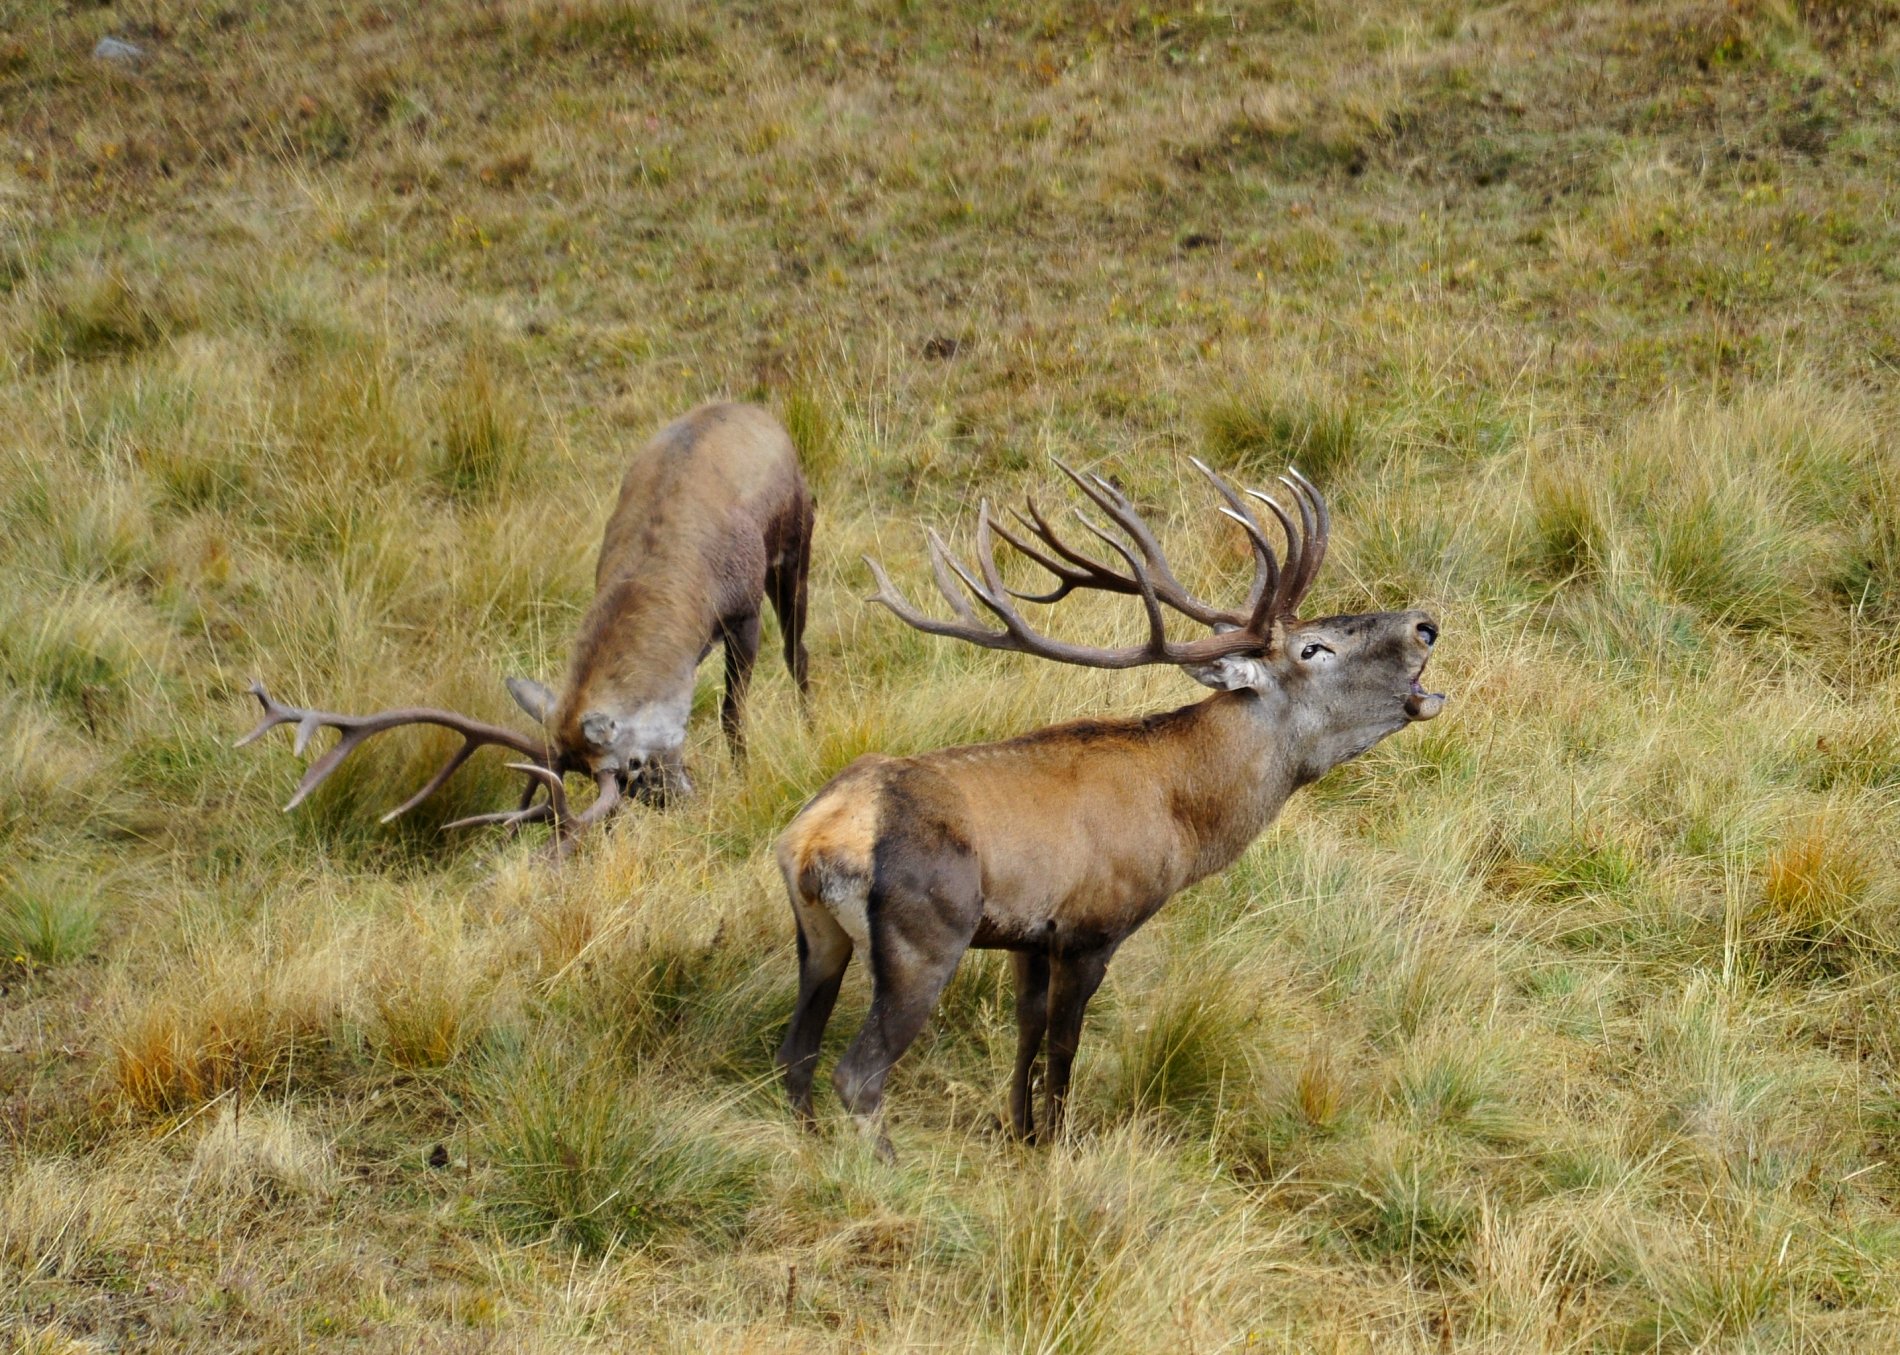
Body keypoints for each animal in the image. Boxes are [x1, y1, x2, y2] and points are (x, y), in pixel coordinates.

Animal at [241, 397, 813, 851]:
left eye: (632, 764)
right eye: (628, 778)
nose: (682, 805)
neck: (680, 587)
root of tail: (759, 412)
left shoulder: (741, 610)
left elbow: (732, 713)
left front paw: (746, 776)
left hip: (797, 543)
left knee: (798, 653)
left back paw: (809, 719)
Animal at [771, 458, 1436, 1155]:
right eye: (1313, 649)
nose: (1425, 624)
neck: (1185, 820)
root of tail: (813, 841)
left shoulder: (1028, 937)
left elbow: (1027, 1031)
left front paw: (1021, 1132)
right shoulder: (1093, 925)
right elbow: (1064, 1047)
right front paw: (1057, 1144)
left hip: (819, 937)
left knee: (796, 1056)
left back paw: (810, 1152)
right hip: (925, 934)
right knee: (857, 1073)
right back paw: (886, 1163)